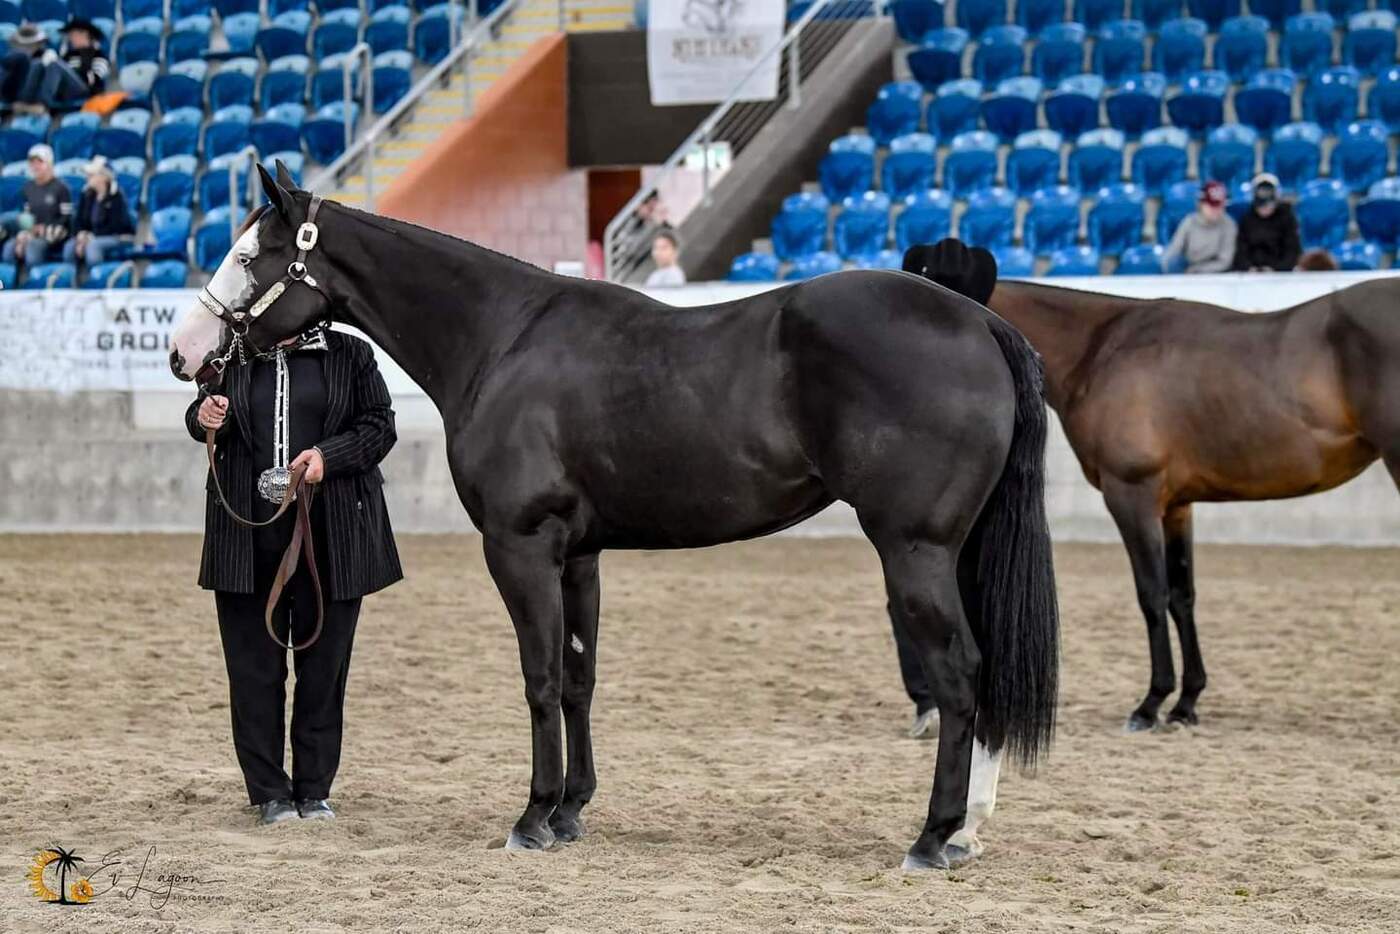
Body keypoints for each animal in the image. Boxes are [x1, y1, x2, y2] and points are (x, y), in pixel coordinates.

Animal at [169, 163, 1060, 870]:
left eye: (247, 256)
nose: (185, 353)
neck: (501, 339)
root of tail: (982, 321)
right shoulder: (579, 555)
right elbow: (578, 678)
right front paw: (570, 810)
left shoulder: (521, 547)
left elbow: (538, 677)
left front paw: (531, 816)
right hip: (958, 552)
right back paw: (967, 830)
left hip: (915, 550)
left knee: (960, 674)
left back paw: (935, 836)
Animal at [915, 239, 1400, 732]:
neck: (1099, 349)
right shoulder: (1176, 506)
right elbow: (1182, 596)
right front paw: (1186, 702)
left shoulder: (1133, 495)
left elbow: (1151, 594)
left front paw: (1150, 704)